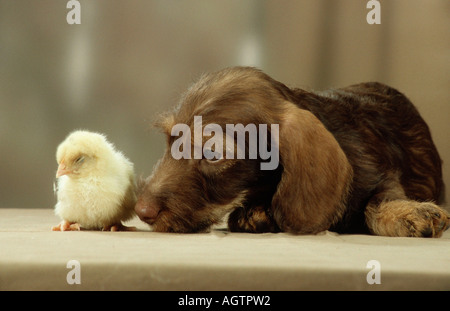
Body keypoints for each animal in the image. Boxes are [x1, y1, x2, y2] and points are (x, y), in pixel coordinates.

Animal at [135, 67, 448, 238]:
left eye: (212, 154)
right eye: (171, 141)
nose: (141, 211)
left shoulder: (383, 176)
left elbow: (379, 202)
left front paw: (409, 213)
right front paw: (254, 213)